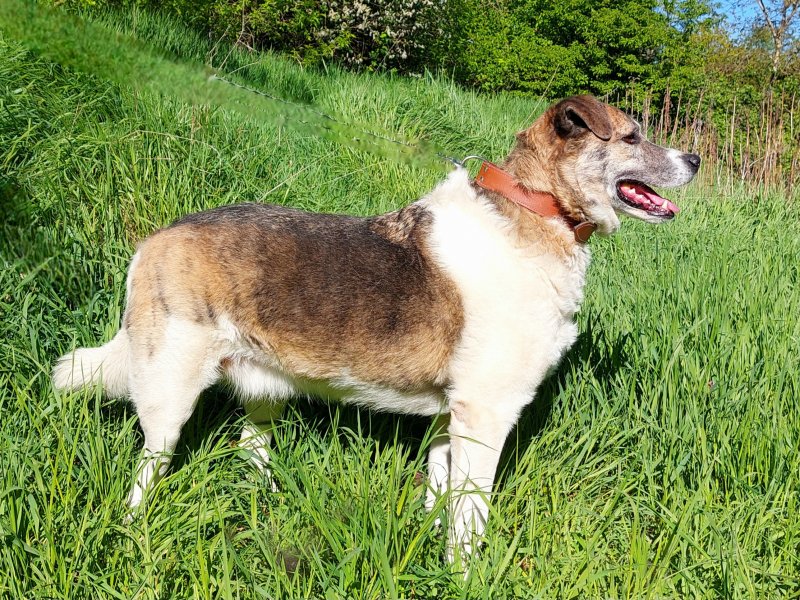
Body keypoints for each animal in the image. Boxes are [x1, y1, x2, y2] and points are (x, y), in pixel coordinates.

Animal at [52, 95, 700, 563]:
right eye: (632, 137)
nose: (694, 160)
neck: (536, 212)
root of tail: (156, 238)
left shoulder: (449, 416)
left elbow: (440, 493)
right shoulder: (485, 415)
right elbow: (471, 514)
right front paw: (464, 574)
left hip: (265, 390)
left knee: (250, 447)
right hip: (169, 393)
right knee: (148, 467)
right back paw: (135, 529)